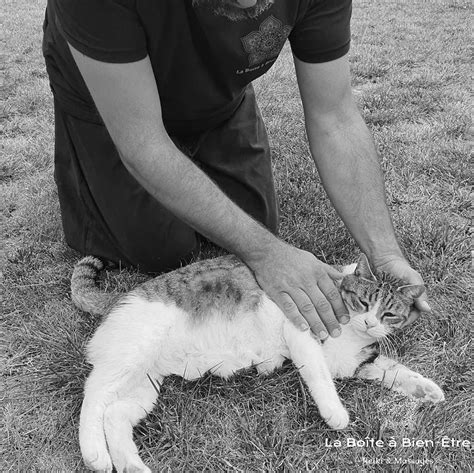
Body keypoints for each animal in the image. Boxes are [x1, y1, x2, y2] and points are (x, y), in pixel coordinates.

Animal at [70, 253, 444, 470]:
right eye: (364, 302)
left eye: (389, 314)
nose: (369, 323)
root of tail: (119, 298)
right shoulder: (302, 335)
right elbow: (320, 378)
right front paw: (335, 414)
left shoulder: (352, 359)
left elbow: (393, 370)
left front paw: (427, 391)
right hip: (134, 353)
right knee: (94, 395)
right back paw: (94, 453)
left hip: (145, 383)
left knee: (115, 414)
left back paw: (130, 465)